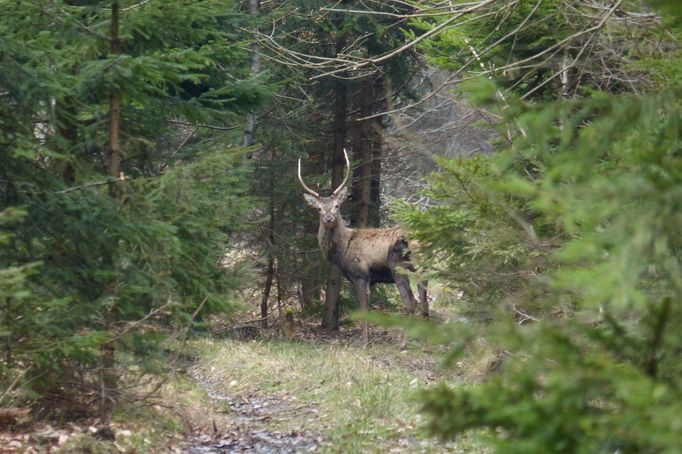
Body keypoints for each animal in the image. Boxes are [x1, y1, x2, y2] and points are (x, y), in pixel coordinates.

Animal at [298, 150, 424, 348]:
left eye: (337, 206)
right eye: (318, 208)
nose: (328, 218)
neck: (342, 250)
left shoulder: (361, 274)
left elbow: (364, 309)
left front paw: (363, 342)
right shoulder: (369, 279)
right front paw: (366, 338)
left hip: (399, 267)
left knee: (412, 301)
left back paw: (402, 344)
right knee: (424, 298)